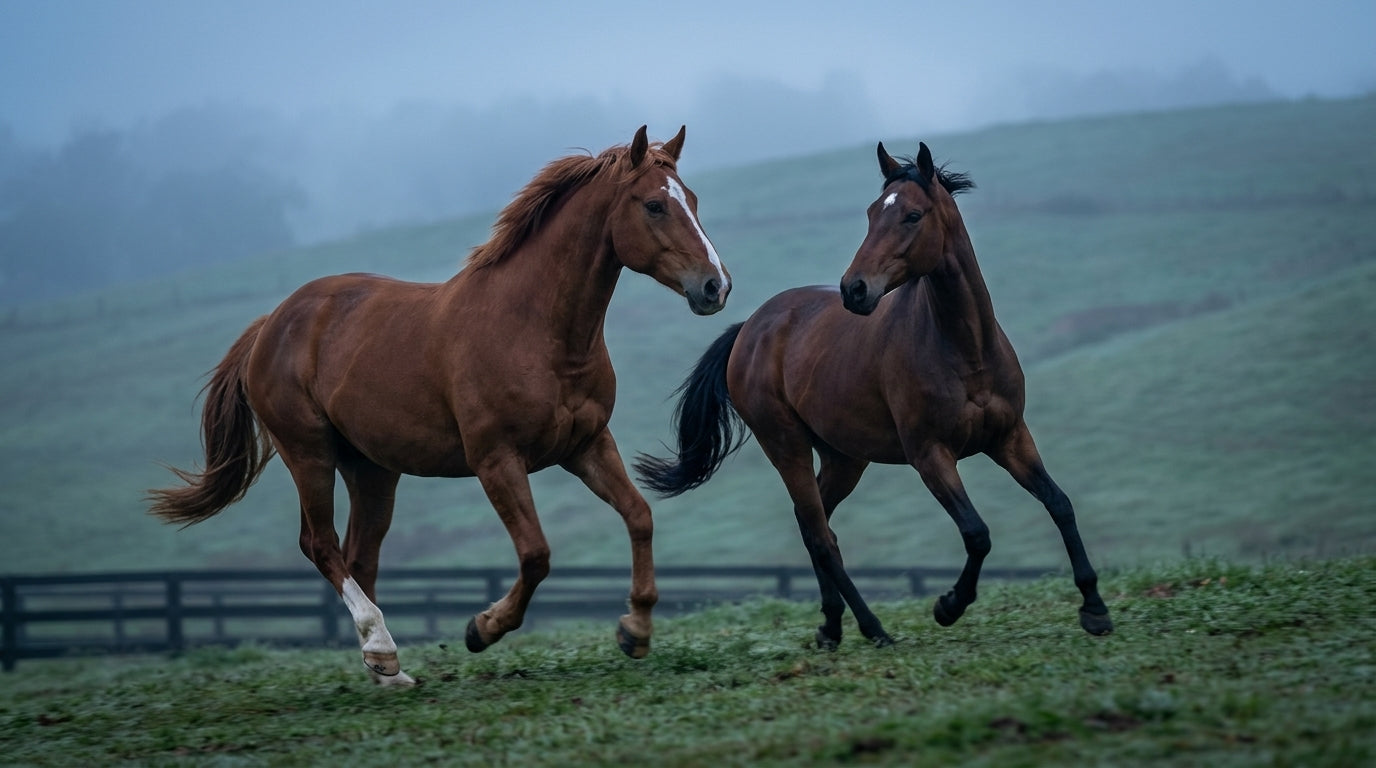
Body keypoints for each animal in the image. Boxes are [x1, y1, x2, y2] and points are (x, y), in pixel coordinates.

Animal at [148, 125, 731, 685]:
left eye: (693, 199)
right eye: (653, 205)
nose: (715, 286)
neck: (537, 331)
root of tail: (271, 323)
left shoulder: (586, 445)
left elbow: (639, 517)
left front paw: (636, 629)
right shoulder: (496, 460)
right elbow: (536, 554)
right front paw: (483, 628)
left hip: (372, 470)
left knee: (360, 556)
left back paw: (387, 672)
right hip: (308, 453)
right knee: (320, 544)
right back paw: (381, 649)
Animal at [636, 141, 1111, 648]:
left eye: (913, 215)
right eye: (871, 213)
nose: (855, 289)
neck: (966, 350)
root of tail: (750, 329)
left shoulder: (1010, 439)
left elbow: (1059, 504)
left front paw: (1095, 609)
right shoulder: (930, 454)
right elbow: (977, 533)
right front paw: (948, 606)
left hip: (844, 458)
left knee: (815, 526)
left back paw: (832, 625)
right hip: (786, 445)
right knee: (821, 536)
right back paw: (872, 627)